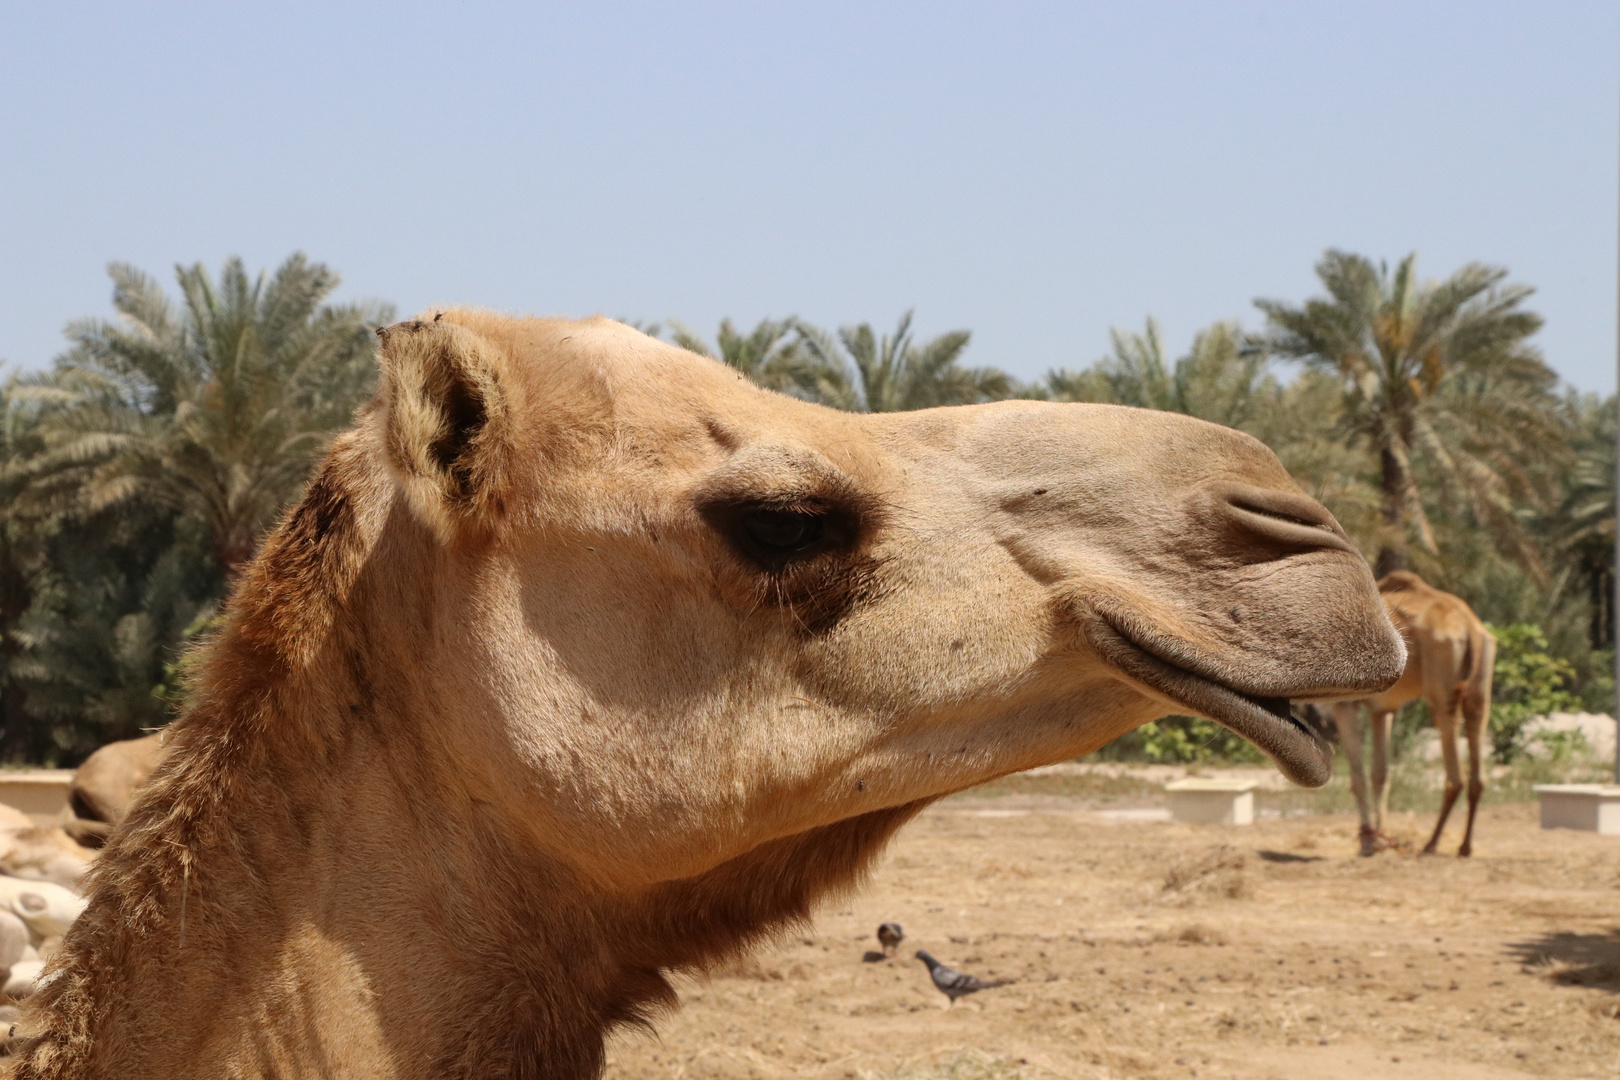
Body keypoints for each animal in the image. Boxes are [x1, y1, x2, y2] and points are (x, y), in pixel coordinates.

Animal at [1328, 569, 1490, 854]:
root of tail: (1471, 628)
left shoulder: (1344, 704)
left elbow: (1358, 777)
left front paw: (1367, 843)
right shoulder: (1382, 709)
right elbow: (1380, 774)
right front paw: (1381, 838)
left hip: (1442, 692)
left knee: (1455, 777)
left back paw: (1431, 843)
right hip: (1479, 693)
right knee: (1477, 775)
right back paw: (1464, 847)